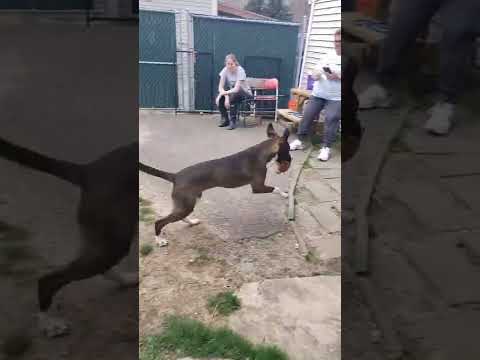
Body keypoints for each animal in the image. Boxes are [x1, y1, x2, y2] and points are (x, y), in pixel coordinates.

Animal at [0, 138, 139, 338]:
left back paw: (126, 280)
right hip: (115, 241)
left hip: (105, 236)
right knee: (48, 281)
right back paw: (49, 323)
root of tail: (90, 170)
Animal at [141, 122, 292, 246]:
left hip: (188, 202)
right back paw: (159, 240)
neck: (261, 152)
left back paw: (191, 222)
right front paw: (285, 195)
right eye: (289, 148)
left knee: (179, 217)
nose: (291, 159)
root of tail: (176, 176)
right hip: (186, 205)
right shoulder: (257, 187)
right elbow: (276, 188)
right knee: (159, 222)